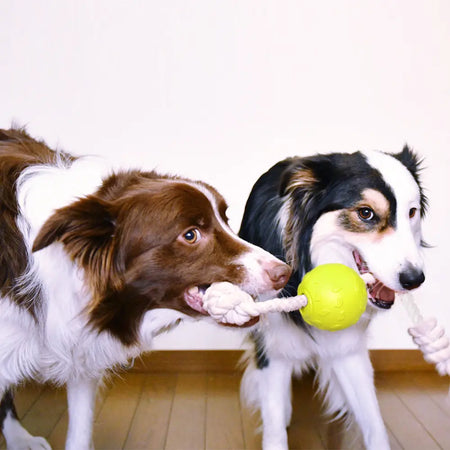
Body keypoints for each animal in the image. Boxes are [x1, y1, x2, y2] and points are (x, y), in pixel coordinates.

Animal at [239, 148, 426, 450]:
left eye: (412, 212)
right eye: (366, 213)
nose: (414, 279)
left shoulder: (348, 348)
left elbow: (373, 421)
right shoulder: (274, 346)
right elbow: (274, 423)